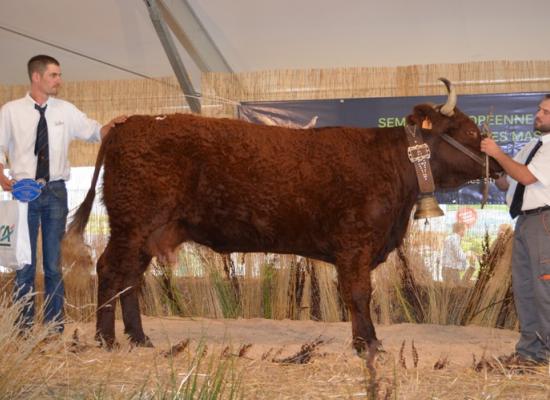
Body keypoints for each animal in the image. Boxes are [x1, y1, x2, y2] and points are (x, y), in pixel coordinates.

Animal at [66, 78, 504, 356]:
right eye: (467, 130)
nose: (499, 165)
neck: (391, 164)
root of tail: (131, 123)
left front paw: (366, 341)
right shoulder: (355, 244)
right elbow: (358, 294)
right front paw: (368, 344)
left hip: (146, 232)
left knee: (130, 281)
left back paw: (138, 338)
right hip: (131, 225)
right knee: (110, 272)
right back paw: (106, 340)